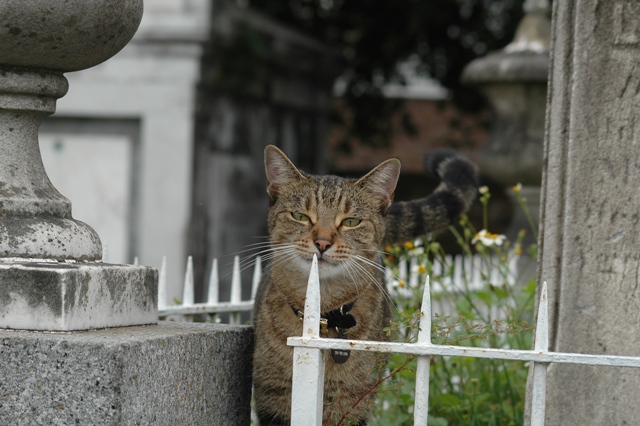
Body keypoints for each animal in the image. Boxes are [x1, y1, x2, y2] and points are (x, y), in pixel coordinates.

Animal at [252, 145, 478, 424]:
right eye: (300, 216)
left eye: (351, 221)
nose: (323, 242)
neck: (322, 317)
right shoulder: (272, 396)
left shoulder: (353, 401)